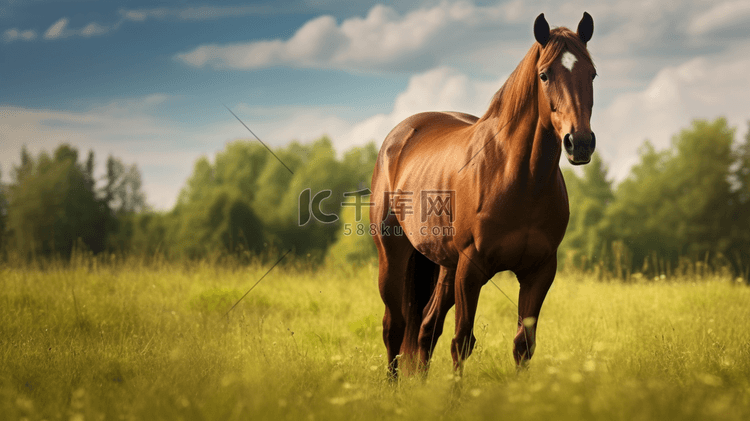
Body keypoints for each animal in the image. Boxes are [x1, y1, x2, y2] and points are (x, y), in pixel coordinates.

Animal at [372, 12, 600, 378]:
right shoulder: (471, 268)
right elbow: (462, 341)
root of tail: (399, 138)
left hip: (445, 266)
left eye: (591, 73)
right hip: (393, 256)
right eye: (544, 75)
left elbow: (524, 344)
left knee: (425, 328)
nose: (579, 143)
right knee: (394, 327)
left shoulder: (539, 271)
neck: (518, 179)